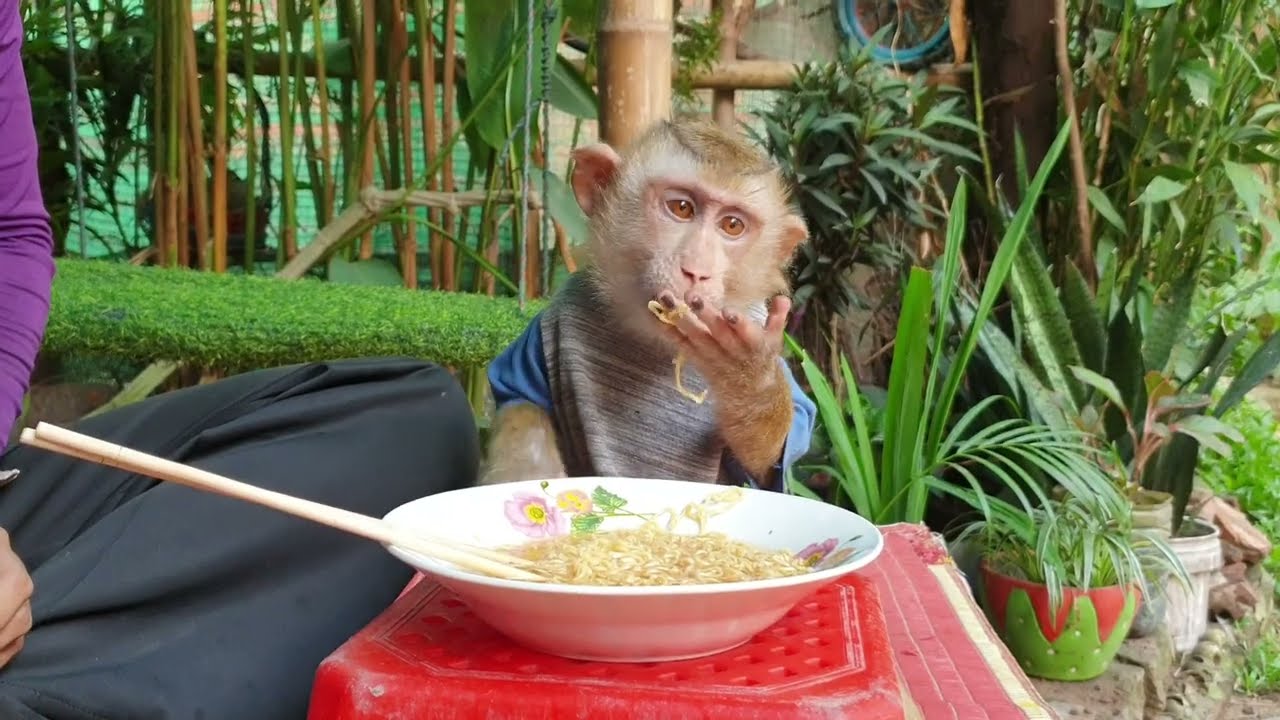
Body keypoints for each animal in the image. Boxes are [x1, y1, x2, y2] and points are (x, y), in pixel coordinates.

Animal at [481, 118, 817, 493]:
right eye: (682, 208)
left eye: (732, 225)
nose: (696, 269)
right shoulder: (543, 331)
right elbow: (516, 398)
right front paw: (530, 471)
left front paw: (749, 378)